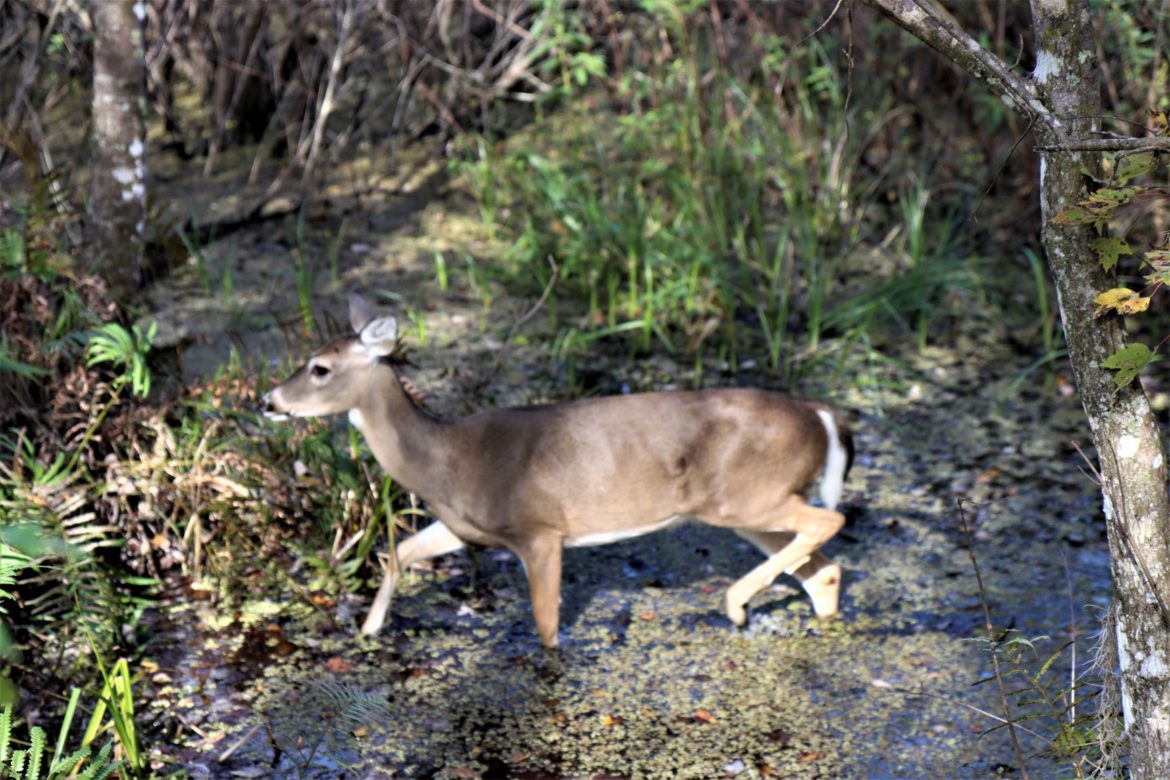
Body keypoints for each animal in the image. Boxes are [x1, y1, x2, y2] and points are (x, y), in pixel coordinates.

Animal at [263, 292, 851, 645]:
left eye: (320, 368)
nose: (269, 401)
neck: (445, 459)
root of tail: (820, 414)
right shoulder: (464, 526)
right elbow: (398, 552)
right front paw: (368, 631)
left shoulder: (540, 531)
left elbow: (547, 627)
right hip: (747, 505)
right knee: (823, 568)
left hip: (748, 497)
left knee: (831, 521)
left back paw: (732, 604)